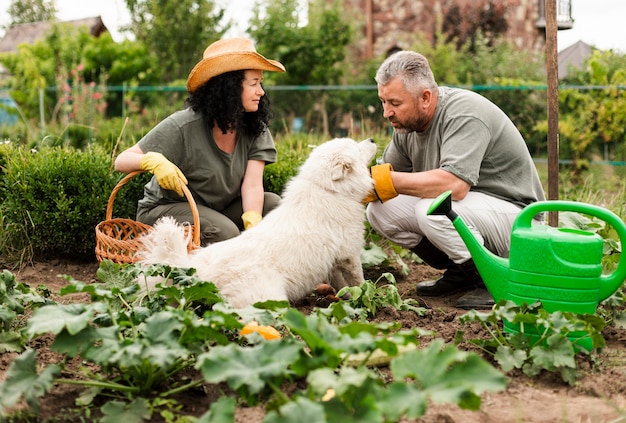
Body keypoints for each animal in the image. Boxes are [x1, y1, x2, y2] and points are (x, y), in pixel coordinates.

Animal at [136, 139, 376, 308]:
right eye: (357, 147)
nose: (373, 139)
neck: (327, 189)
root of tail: (194, 268)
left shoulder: (334, 260)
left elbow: (341, 284)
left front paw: (348, 297)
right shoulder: (349, 254)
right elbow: (358, 280)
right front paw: (367, 294)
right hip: (268, 298)